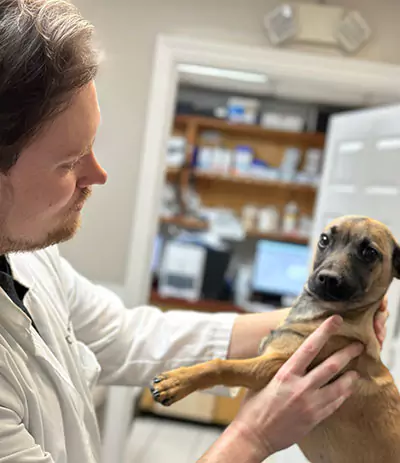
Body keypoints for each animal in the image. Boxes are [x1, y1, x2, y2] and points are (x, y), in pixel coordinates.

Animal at [151, 218, 400, 463]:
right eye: (324, 239)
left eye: (369, 252)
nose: (328, 279)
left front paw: (177, 381)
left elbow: (222, 365)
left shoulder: (274, 366)